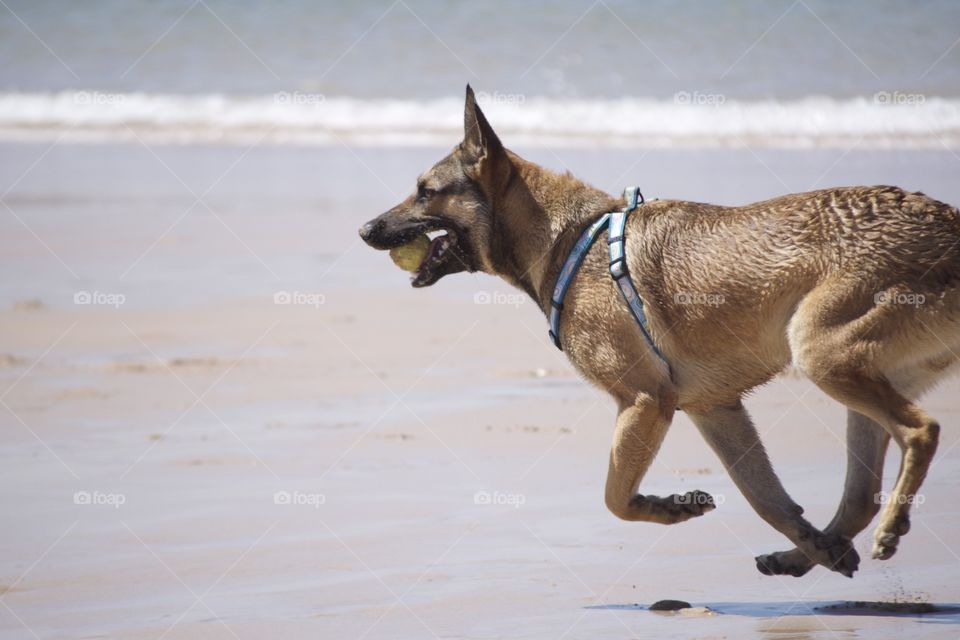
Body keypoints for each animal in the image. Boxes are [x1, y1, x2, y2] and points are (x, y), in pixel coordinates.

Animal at [360, 85, 960, 580]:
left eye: (425, 191)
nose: (365, 229)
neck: (569, 237)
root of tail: (948, 226)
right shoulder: (714, 409)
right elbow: (768, 500)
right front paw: (814, 546)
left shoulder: (645, 401)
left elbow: (615, 498)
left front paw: (668, 509)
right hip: (854, 377)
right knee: (860, 494)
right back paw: (809, 553)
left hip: (821, 354)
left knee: (921, 432)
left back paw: (890, 527)